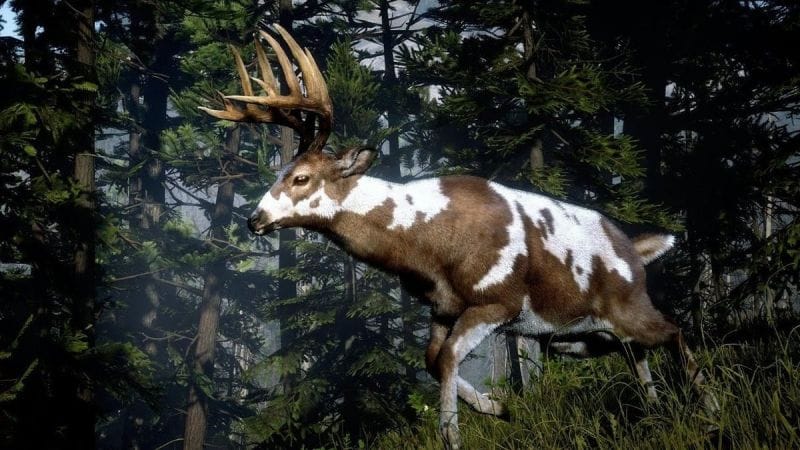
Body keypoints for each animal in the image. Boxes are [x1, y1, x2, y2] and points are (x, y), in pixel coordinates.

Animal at [201, 25, 719, 450]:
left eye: (301, 178)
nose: (254, 219)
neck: (428, 247)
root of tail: (635, 250)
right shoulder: (443, 307)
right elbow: (433, 358)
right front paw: (498, 406)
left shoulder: (497, 300)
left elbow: (448, 358)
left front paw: (454, 432)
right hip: (576, 335)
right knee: (634, 351)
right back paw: (657, 411)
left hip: (624, 306)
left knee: (673, 330)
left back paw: (709, 408)